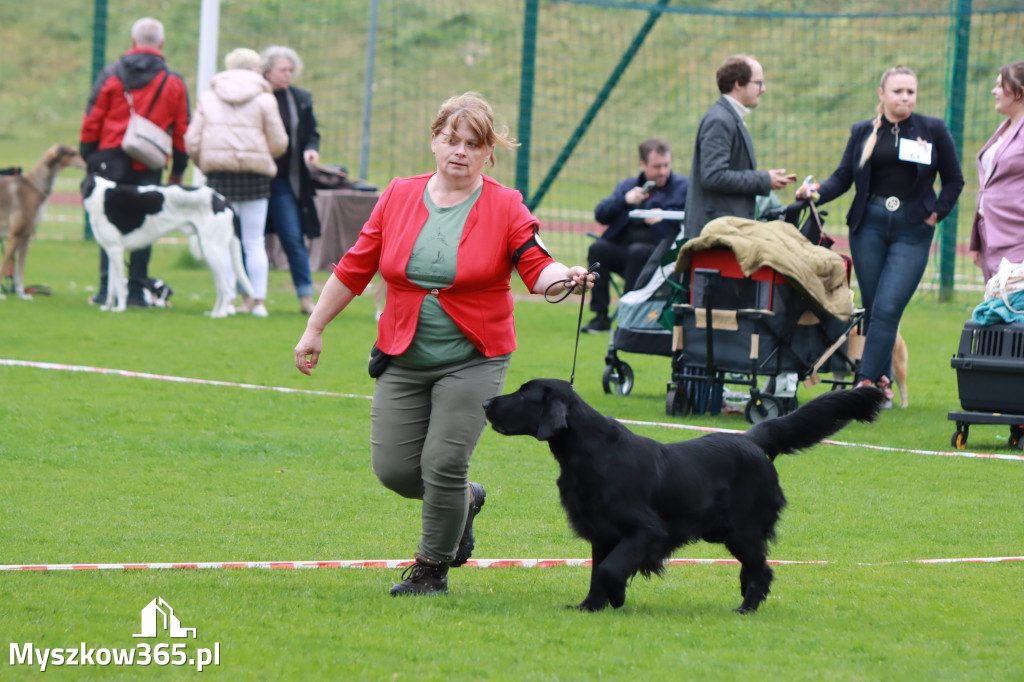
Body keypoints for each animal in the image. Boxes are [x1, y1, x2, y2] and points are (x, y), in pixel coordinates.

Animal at [81, 174, 253, 315]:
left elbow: (118, 286)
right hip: (209, 253)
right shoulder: (111, 252)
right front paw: (107, 307)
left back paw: (220, 315)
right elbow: (111, 287)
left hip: (212, 252)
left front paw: (120, 309)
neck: (99, 193)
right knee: (220, 287)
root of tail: (223, 200)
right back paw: (214, 313)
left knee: (226, 287)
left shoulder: (116, 250)